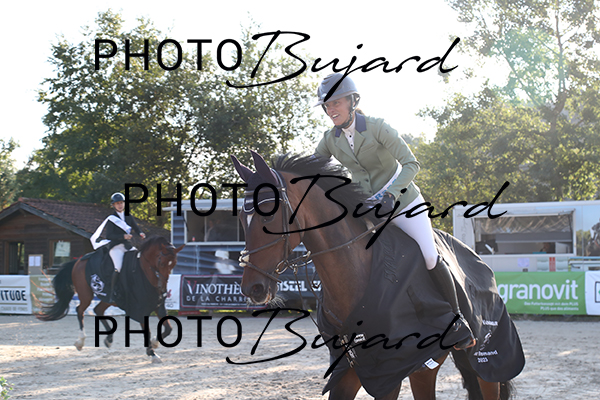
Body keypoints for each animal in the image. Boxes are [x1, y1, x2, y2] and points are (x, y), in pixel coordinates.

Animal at [38, 236, 184, 362]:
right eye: (161, 262)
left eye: (174, 264)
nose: (163, 289)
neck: (145, 272)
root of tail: (79, 260)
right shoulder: (141, 308)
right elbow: (147, 332)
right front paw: (152, 353)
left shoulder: (158, 306)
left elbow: (168, 329)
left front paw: (154, 344)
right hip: (86, 295)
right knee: (80, 310)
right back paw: (80, 342)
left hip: (108, 299)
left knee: (97, 310)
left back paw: (108, 339)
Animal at [231, 151, 521, 400]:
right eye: (242, 220)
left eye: (268, 216)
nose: (252, 288)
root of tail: (479, 259)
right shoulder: (350, 371)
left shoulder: (391, 374)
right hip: (431, 367)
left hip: (485, 360)